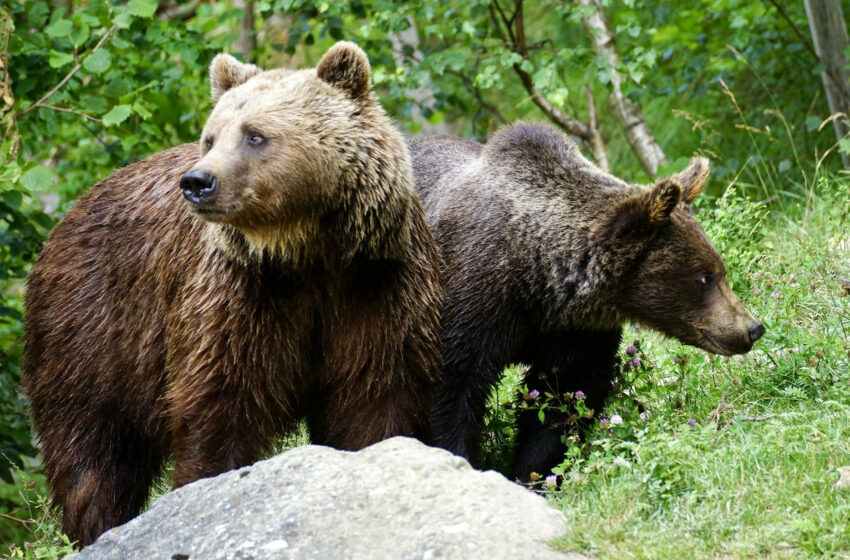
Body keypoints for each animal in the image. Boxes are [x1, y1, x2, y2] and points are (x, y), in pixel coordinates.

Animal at [23, 42, 440, 548]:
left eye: (255, 135)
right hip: (91, 330)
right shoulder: (239, 294)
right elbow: (222, 404)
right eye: (210, 137)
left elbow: (375, 395)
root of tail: (65, 220)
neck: (306, 251)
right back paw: (95, 529)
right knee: (92, 455)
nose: (197, 182)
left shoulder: (376, 285)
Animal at [404, 122, 760, 482]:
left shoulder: (577, 331)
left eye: (719, 269)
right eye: (704, 277)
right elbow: (451, 392)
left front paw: (536, 474)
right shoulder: (473, 303)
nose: (752, 328)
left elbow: (564, 400)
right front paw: (459, 459)